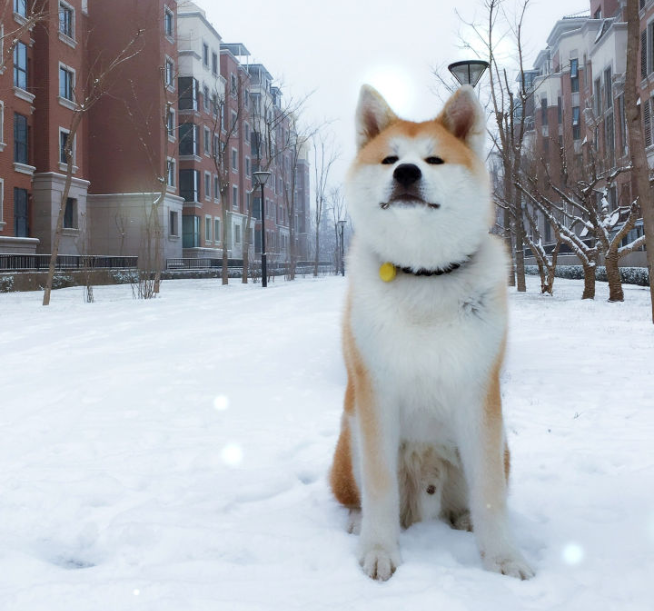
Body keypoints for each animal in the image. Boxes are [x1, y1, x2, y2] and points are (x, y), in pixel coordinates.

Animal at [330, 83, 536, 580]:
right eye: (389, 158)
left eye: (435, 160)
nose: (406, 172)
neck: (423, 273)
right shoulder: (375, 393)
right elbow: (380, 487)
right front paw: (379, 549)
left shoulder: (478, 394)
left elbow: (490, 493)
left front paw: (503, 558)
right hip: (349, 438)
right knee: (356, 495)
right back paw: (357, 521)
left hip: (500, 447)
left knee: (472, 496)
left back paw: (462, 520)